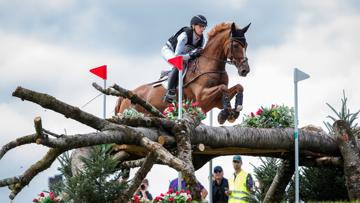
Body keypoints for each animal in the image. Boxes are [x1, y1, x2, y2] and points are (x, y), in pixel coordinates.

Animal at [115, 22, 250, 123]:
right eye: (236, 45)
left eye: (246, 45)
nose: (245, 70)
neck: (211, 65)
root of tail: (126, 96)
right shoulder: (202, 97)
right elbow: (222, 88)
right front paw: (225, 114)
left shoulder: (215, 102)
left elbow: (238, 87)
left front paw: (233, 112)